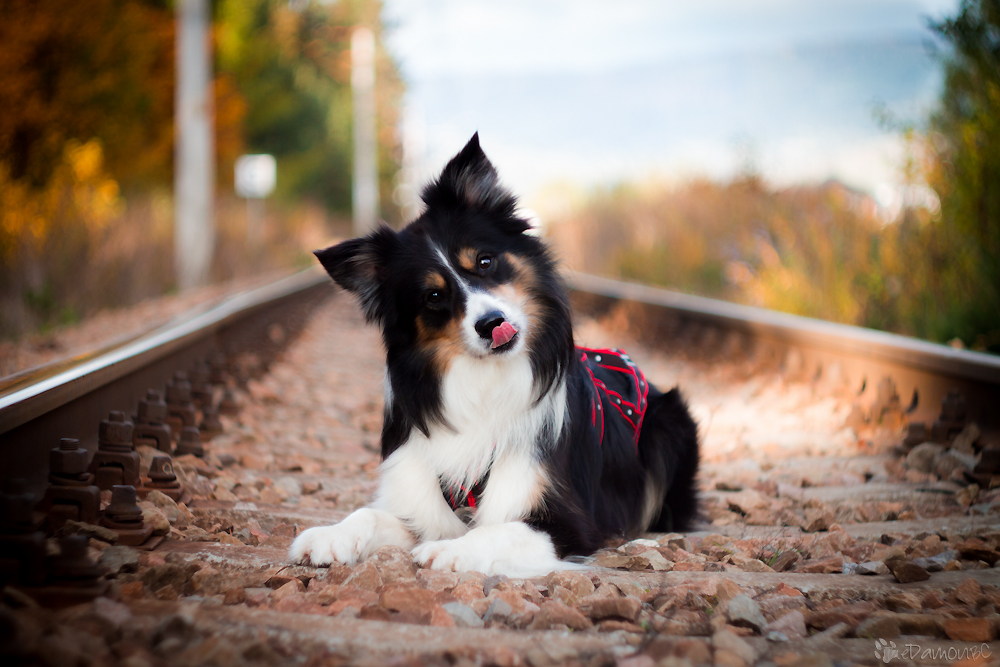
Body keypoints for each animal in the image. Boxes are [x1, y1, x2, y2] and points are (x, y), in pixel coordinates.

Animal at [286, 133, 700, 576]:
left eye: (485, 261)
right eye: (434, 296)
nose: (491, 323)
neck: (485, 379)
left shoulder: (565, 519)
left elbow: (497, 530)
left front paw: (451, 551)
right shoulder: (422, 495)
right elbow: (370, 514)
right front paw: (328, 536)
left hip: (668, 425)